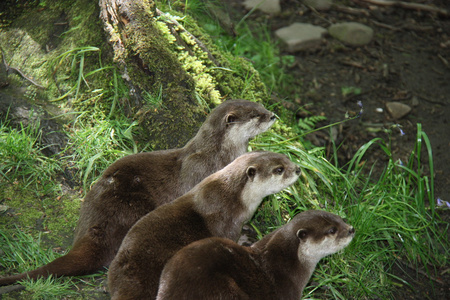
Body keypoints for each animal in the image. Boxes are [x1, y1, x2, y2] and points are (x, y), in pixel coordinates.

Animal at [0, 99, 276, 284]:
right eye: (256, 115)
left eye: (262, 106)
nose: (273, 115)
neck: (220, 155)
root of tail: (97, 225)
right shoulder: (202, 174)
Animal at [107, 152, 300, 300]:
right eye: (279, 169)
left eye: (286, 158)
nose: (298, 169)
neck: (233, 199)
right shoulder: (227, 222)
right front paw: (245, 238)